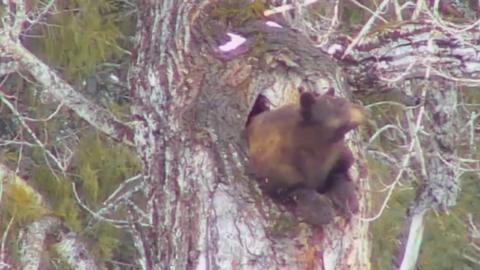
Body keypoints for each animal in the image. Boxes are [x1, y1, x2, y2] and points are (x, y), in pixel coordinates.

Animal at [248, 89, 364, 226]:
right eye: (339, 103)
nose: (361, 108)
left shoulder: (334, 158)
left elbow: (341, 171)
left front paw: (347, 202)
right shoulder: (279, 168)